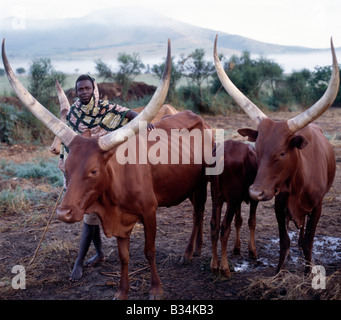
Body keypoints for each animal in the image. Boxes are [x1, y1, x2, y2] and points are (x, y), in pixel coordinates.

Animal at [3, 40, 212, 300]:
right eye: (66, 169)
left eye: (93, 171)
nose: (63, 213)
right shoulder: (120, 221)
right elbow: (124, 257)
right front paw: (121, 291)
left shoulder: (150, 212)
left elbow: (150, 251)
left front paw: (156, 289)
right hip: (189, 185)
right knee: (197, 213)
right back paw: (197, 248)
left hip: (202, 182)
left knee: (197, 214)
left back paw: (188, 253)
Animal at [209, 140, 256, 278]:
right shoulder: (252, 199)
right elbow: (251, 221)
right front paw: (252, 250)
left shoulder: (238, 201)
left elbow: (238, 221)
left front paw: (237, 247)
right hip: (231, 199)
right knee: (225, 228)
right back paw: (224, 268)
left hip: (216, 197)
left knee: (214, 226)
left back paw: (214, 265)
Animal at [214, 36, 338, 274]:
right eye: (257, 149)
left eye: (282, 153)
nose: (255, 191)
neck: (299, 181)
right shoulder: (279, 204)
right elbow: (283, 241)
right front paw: (279, 271)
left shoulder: (318, 206)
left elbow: (308, 241)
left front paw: (308, 270)